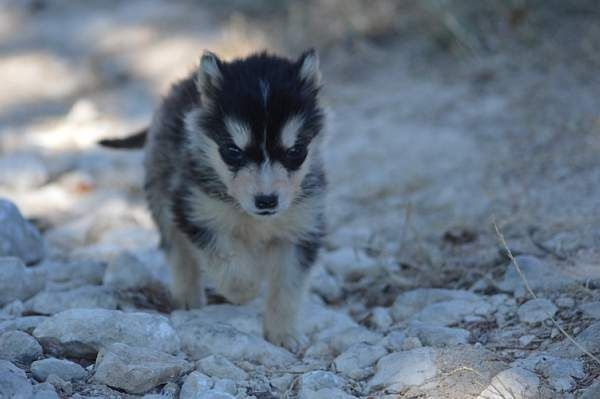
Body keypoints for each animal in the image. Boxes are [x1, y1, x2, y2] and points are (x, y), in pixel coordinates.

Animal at [101, 49, 326, 350]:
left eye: (295, 151)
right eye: (232, 151)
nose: (266, 201)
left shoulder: (302, 229)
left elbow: (288, 287)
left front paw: (284, 333)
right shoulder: (195, 212)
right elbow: (231, 267)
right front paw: (245, 289)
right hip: (161, 194)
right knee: (177, 249)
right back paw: (188, 297)